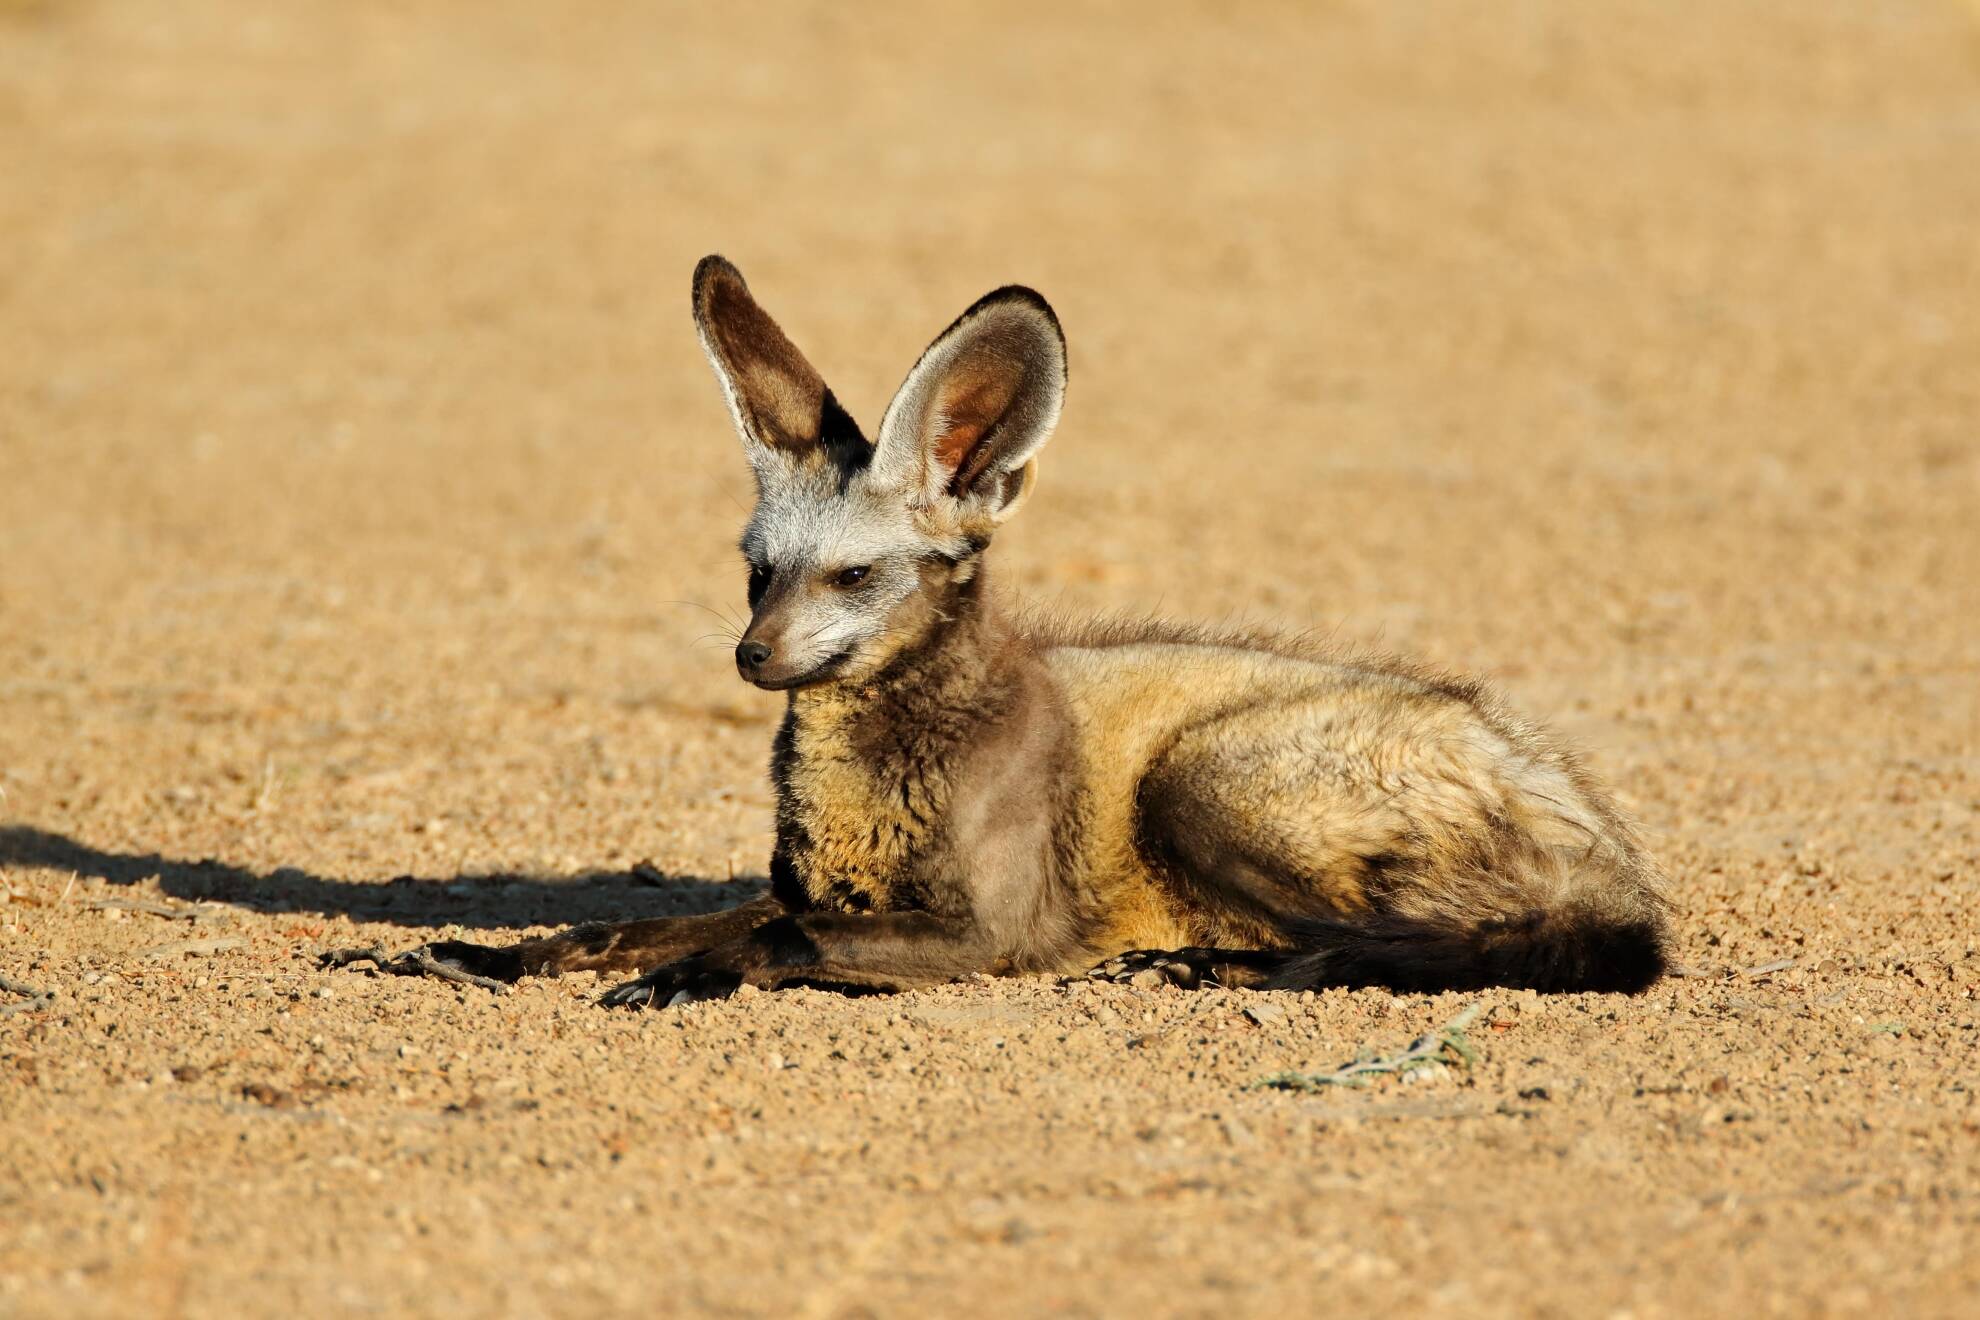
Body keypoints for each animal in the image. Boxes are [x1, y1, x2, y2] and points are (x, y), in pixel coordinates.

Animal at [355, 256, 1670, 1008]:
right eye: (755, 573)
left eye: (855, 575)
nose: (752, 658)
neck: (880, 783)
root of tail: (1592, 821)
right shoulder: (816, 886)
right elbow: (621, 922)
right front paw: (481, 957)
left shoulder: (996, 930)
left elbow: (782, 941)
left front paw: (695, 978)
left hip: (1201, 780)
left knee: (1459, 941)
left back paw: (1231, 964)